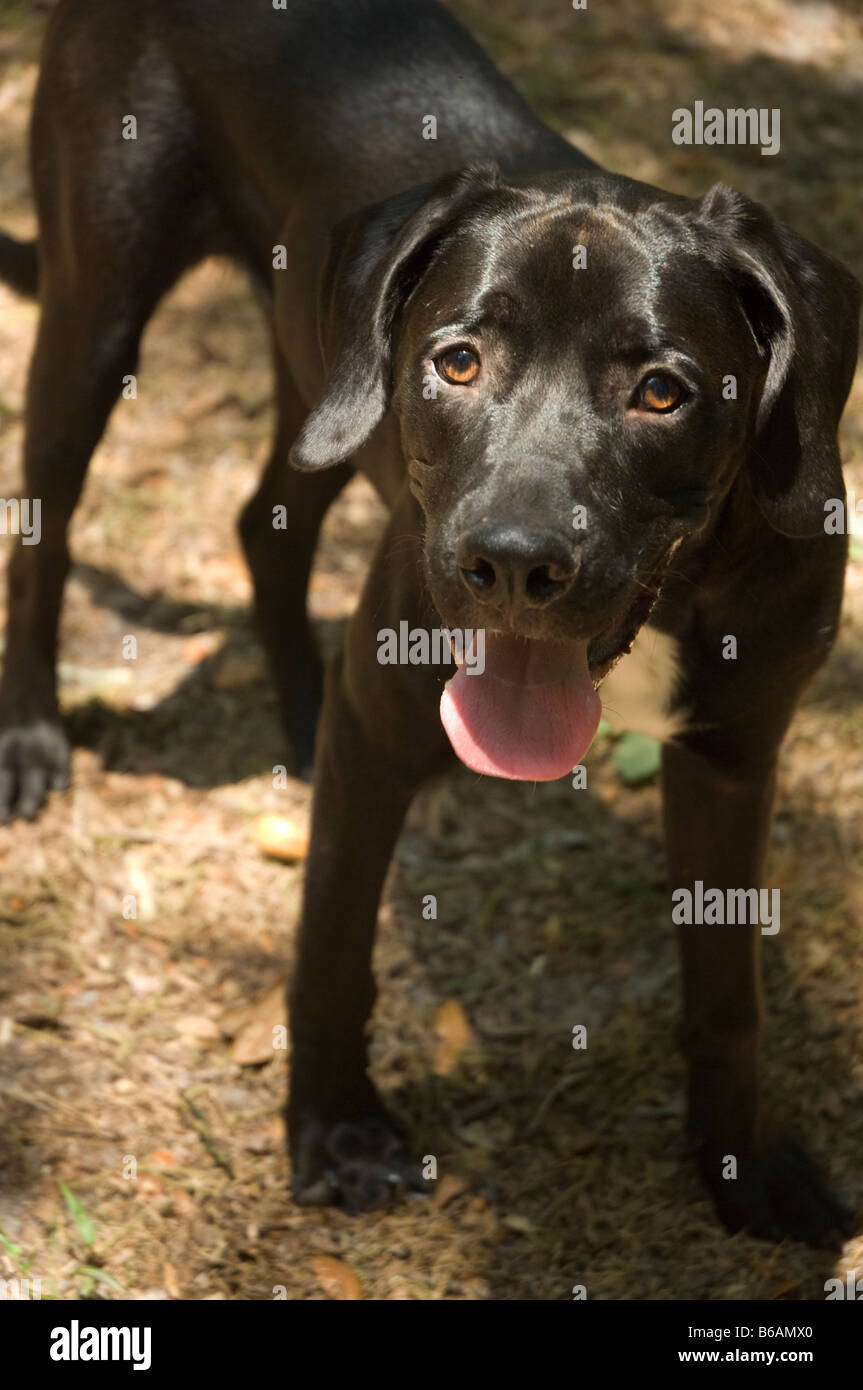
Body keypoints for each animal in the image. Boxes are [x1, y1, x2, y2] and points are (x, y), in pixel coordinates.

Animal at [3, 0, 856, 1245]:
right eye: (457, 361)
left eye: (662, 391)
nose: (512, 561)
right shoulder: (381, 744)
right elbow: (331, 951)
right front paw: (338, 1139)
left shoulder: (733, 764)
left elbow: (725, 995)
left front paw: (739, 1169)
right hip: (99, 307)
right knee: (43, 528)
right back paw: (31, 741)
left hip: (318, 377)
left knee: (264, 525)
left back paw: (296, 706)